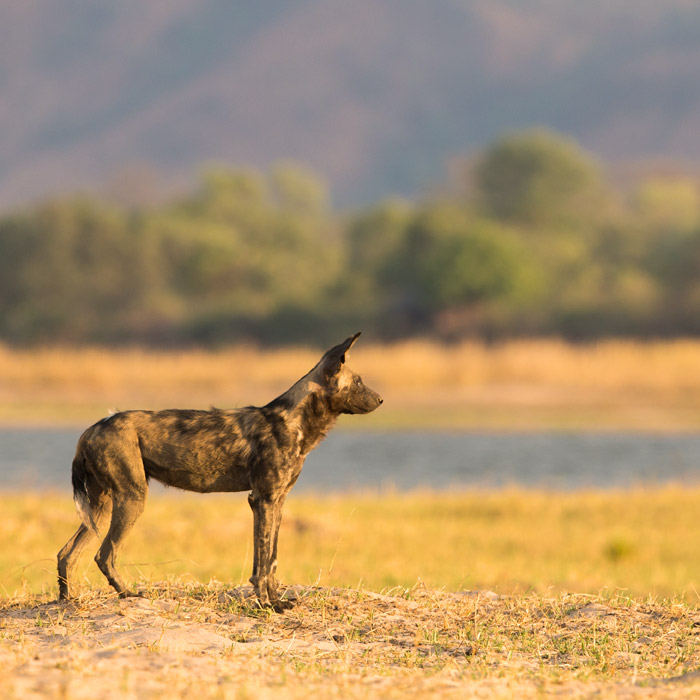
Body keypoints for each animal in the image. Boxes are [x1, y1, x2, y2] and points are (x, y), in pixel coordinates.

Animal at [56, 330, 380, 608]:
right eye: (359, 382)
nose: (381, 399)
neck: (295, 422)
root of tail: (93, 427)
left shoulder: (276, 501)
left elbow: (271, 559)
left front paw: (276, 601)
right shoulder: (263, 500)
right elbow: (264, 562)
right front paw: (268, 605)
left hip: (102, 507)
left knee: (67, 553)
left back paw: (66, 599)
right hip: (131, 500)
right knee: (104, 554)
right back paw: (128, 594)